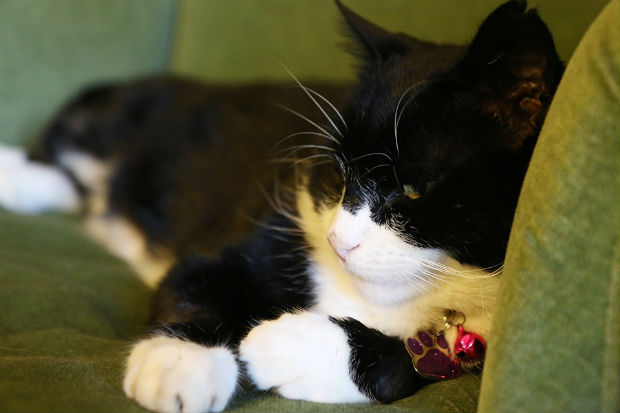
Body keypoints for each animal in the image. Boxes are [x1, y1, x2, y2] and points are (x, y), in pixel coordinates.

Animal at [0, 0, 564, 412]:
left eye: (412, 189)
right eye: (339, 173)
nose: (339, 242)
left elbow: (424, 361)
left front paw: (288, 347)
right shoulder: (264, 225)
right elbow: (199, 279)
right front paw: (180, 363)